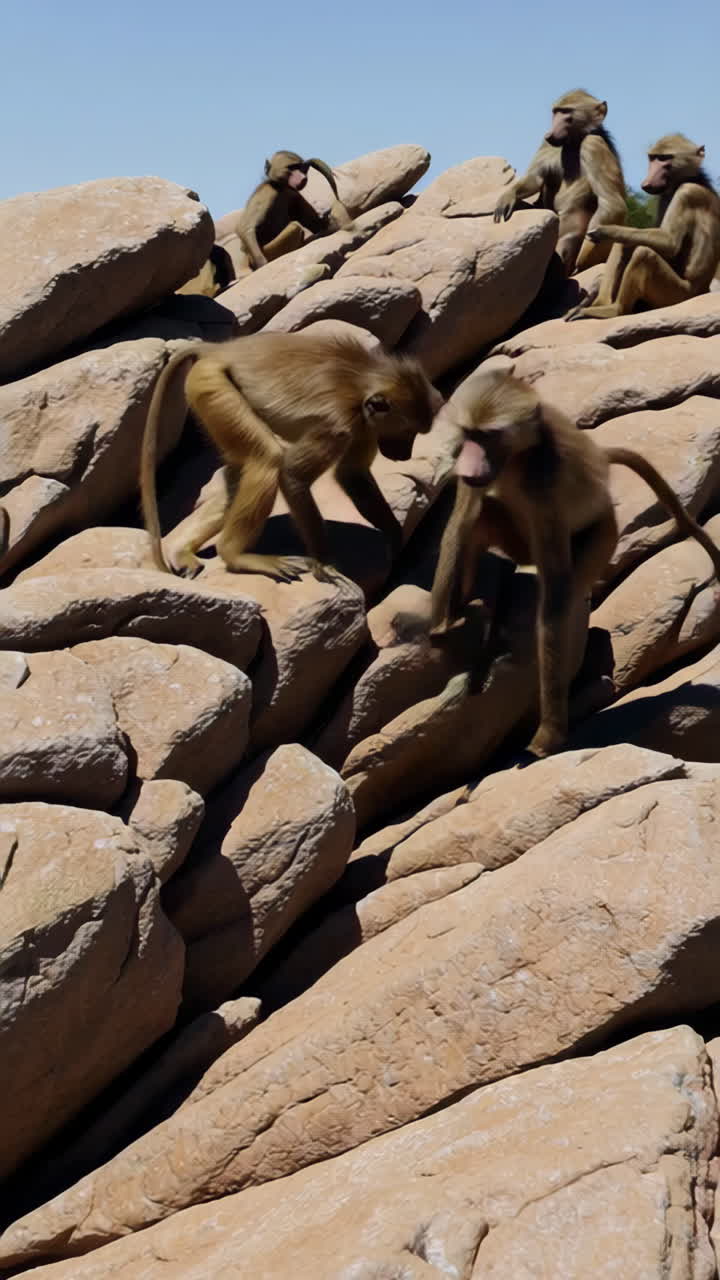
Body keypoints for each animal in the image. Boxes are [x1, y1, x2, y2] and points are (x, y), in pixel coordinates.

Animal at [141, 331, 441, 581]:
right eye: (406, 433)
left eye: (414, 434)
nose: (405, 453)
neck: (362, 380)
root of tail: (221, 350)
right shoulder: (338, 424)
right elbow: (291, 475)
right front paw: (323, 563)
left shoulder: (365, 426)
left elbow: (352, 475)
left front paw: (396, 537)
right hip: (213, 384)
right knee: (266, 459)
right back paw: (236, 556)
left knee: (238, 475)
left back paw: (184, 550)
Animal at [429, 364, 720, 758]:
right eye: (470, 434)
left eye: (489, 436)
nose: (471, 466)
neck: (518, 456)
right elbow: (458, 523)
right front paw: (439, 625)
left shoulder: (544, 483)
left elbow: (554, 599)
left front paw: (547, 737)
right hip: (523, 543)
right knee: (483, 517)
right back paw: (467, 612)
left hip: (603, 535)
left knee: (565, 598)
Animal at [493, 90, 627, 276]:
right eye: (556, 112)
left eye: (566, 112)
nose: (550, 134)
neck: (573, 142)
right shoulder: (546, 144)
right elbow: (535, 178)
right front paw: (508, 196)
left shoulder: (594, 144)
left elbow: (613, 204)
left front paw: (583, 259)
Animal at [566, 135, 720, 320]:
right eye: (653, 158)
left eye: (665, 158)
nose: (647, 182)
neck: (691, 178)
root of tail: (703, 290)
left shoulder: (687, 193)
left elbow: (670, 244)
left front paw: (605, 231)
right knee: (625, 244)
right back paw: (599, 303)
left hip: (678, 294)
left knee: (643, 253)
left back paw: (613, 310)